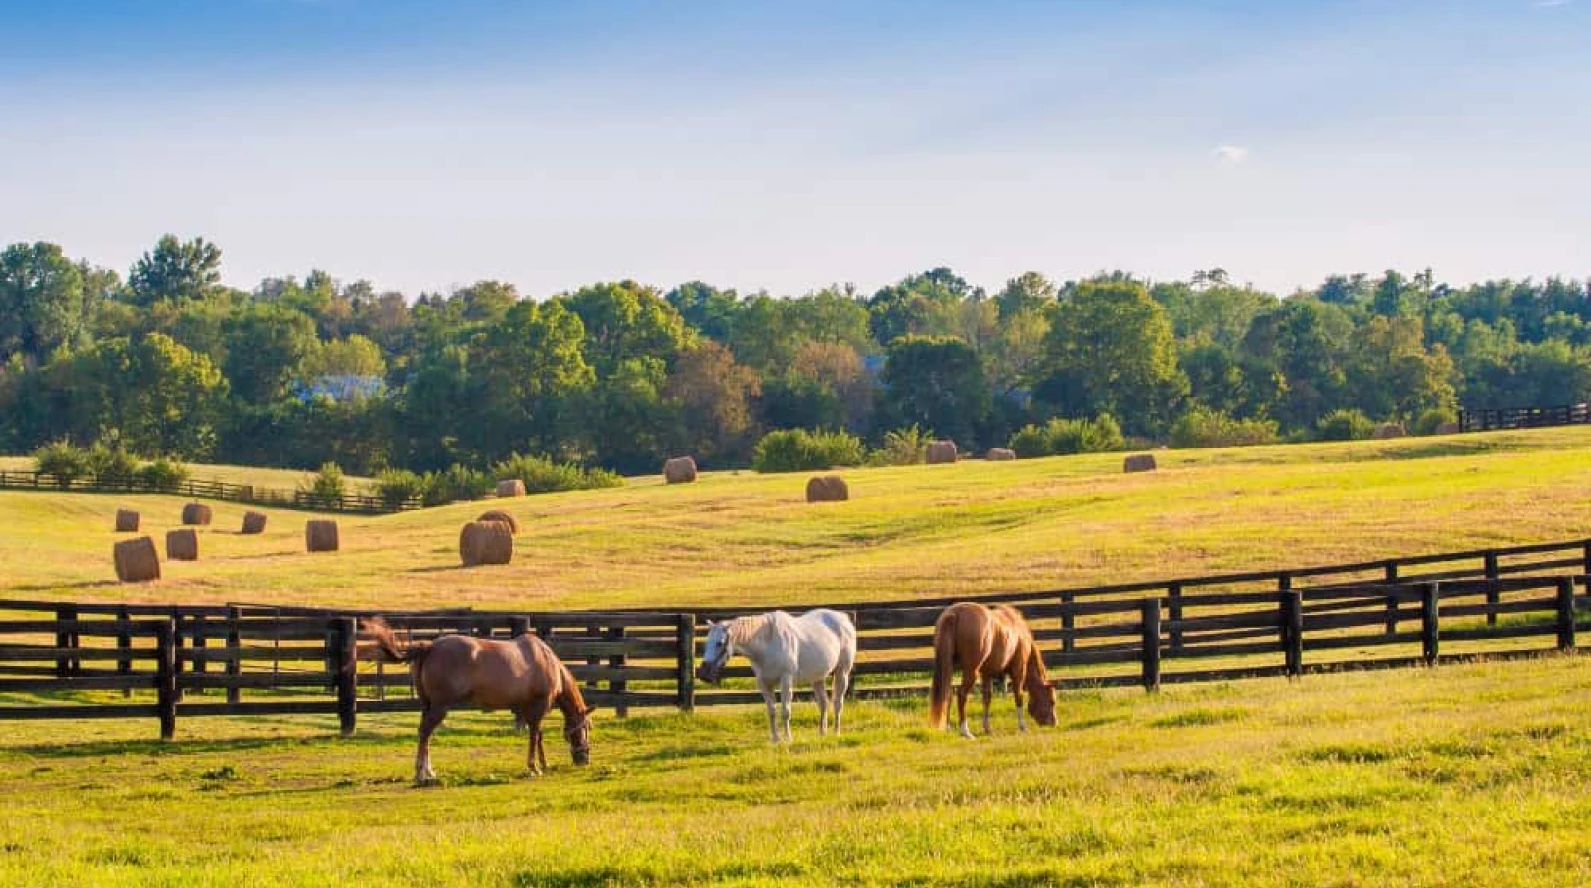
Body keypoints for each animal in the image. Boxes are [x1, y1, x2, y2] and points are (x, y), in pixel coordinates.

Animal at [361, 619, 597, 783]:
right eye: (587, 727)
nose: (584, 760)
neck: (548, 662)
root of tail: (429, 647)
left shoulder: (527, 710)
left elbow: (537, 736)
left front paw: (543, 764)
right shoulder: (537, 709)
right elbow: (534, 736)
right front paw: (534, 767)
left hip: (427, 705)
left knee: (424, 734)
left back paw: (428, 771)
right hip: (439, 707)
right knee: (425, 732)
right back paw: (421, 773)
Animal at [695, 609, 856, 743]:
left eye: (719, 643)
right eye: (706, 643)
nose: (703, 674)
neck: (768, 643)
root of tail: (844, 619)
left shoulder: (786, 681)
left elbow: (785, 711)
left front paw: (788, 738)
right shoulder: (764, 684)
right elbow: (771, 711)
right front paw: (775, 739)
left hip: (842, 672)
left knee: (837, 703)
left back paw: (836, 732)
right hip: (817, 678)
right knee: (823, 703)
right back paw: (822, 733)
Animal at [928, 602, 1057, 738]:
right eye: (1052, 701)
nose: (1054, 723)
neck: (1019, 630)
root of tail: (955, 613)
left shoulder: (986, 673)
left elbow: (987, 698)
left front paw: (987, 728)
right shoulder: (1018, 670)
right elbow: (1018, 696)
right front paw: (1023, 727)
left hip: (949, 668)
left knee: (948, 693)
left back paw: (948, 728)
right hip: (971, 671)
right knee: (962, 694)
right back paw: (965, 731)